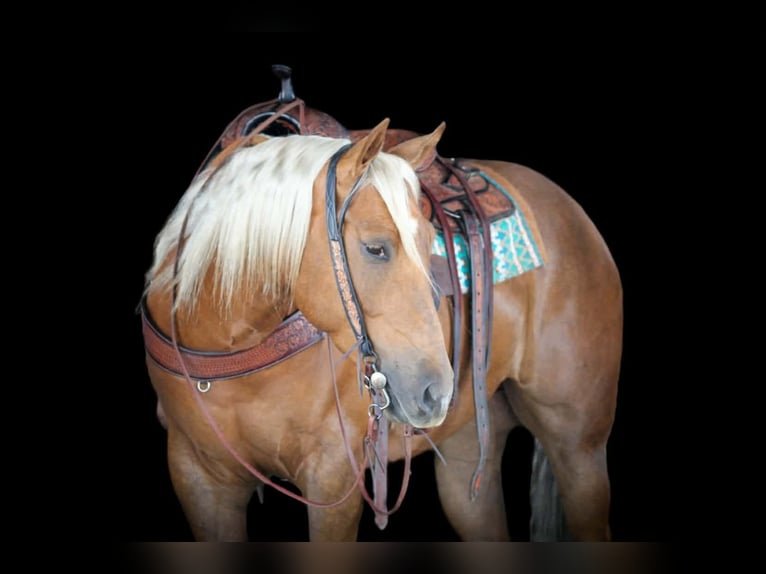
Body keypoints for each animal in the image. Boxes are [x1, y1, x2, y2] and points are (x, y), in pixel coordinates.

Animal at [140, 79, 622, 541]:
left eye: (428, 242)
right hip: (468, 448)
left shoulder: (334, 475)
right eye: (376, 248)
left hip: (579, 447)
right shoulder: (198, 476)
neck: (229, 337)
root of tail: (571, 212)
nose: (435, 392)